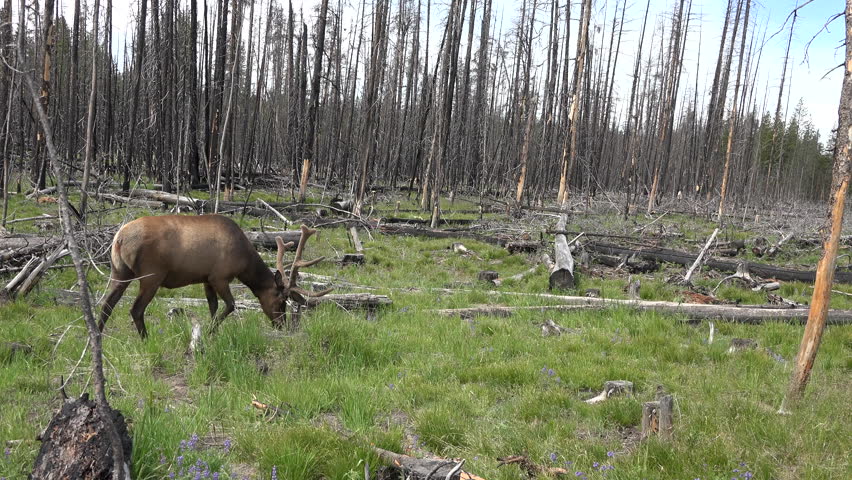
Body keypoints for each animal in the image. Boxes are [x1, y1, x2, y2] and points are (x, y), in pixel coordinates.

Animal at [98, 214, 331, 339]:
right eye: (281, 300)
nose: (281, 324)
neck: (244, 261)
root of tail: (119, 239)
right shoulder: (220, 276)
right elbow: (230, 305)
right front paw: (210, 331)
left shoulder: (206, 278)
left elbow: (213, 306)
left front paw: (210, 332)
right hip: (151, 276)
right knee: (135, 309)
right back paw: (145, 339)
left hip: (119, 271)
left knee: (106, 304)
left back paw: (98, 336)